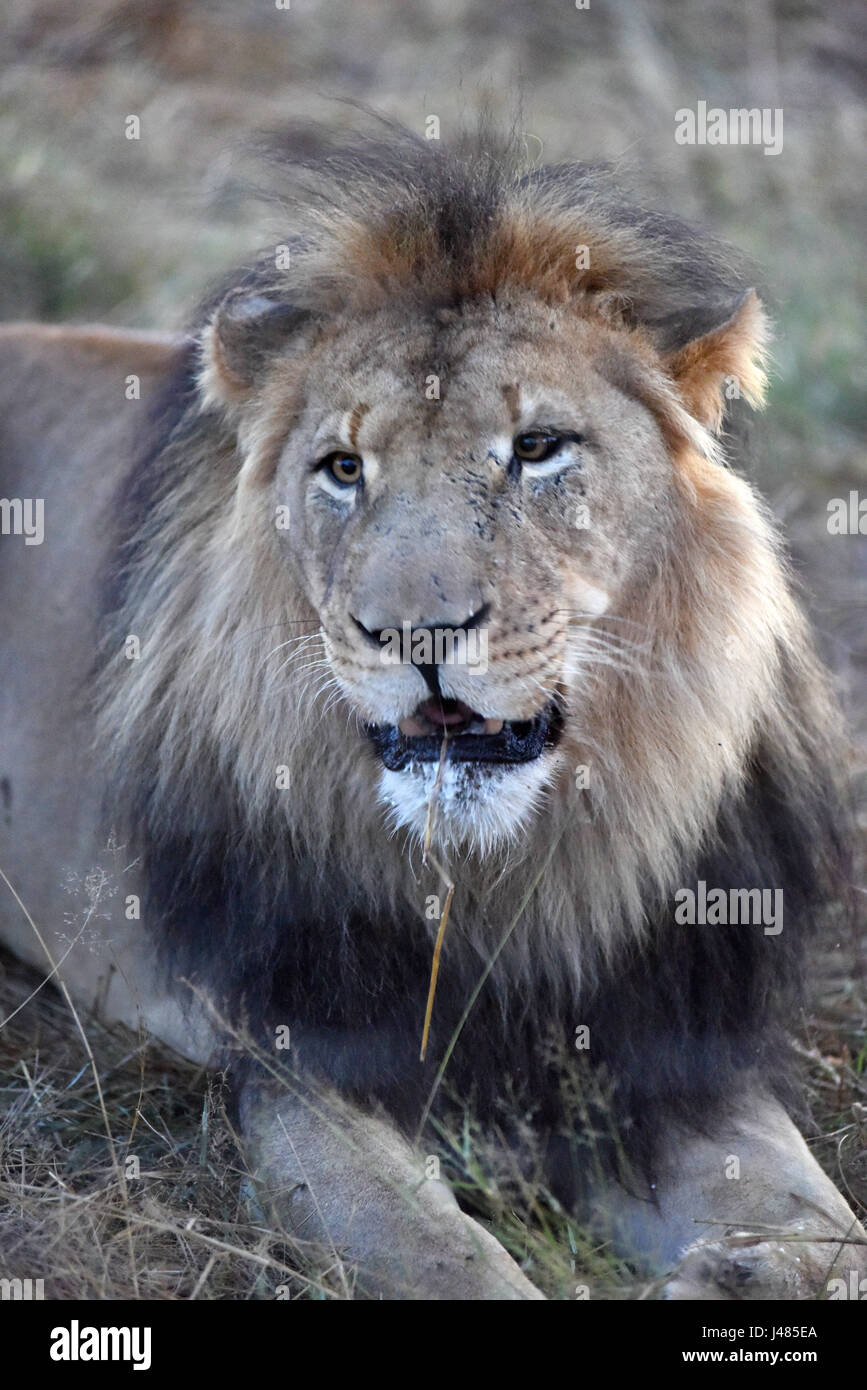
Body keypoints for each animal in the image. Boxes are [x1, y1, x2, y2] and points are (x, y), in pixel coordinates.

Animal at [0, 125, 864, 1300]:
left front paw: (746, 1271)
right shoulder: (303, 1064)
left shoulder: (671, 1053)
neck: (505, 881)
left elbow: (824, 1224)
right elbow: (445, 1259)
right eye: (343, 469)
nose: (414, 635)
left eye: (538, 448)